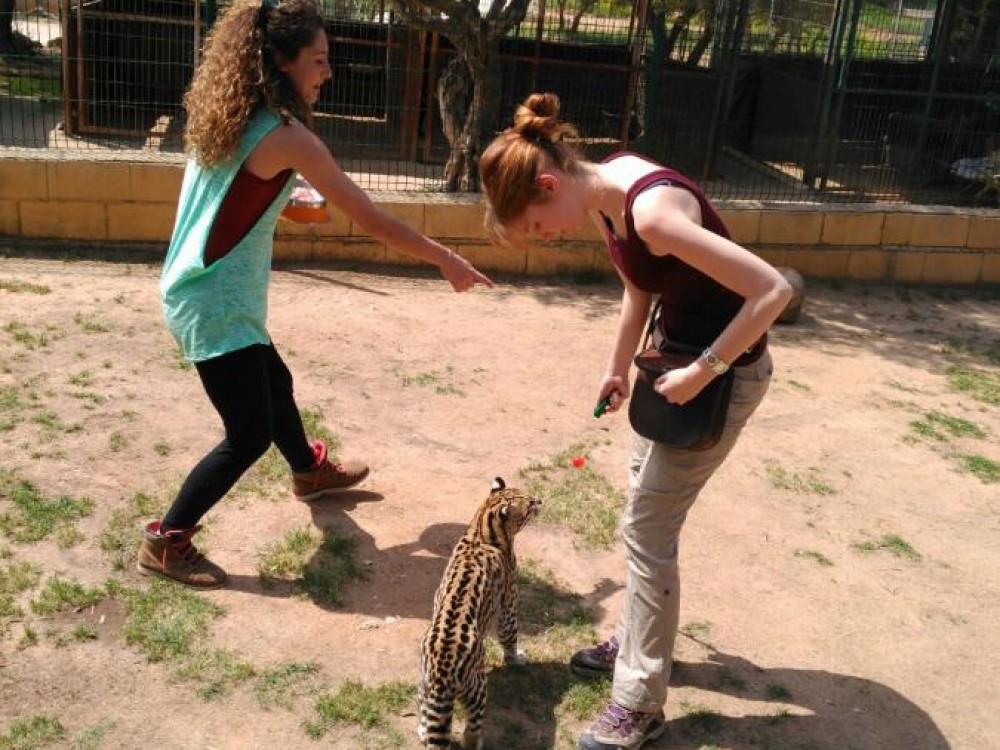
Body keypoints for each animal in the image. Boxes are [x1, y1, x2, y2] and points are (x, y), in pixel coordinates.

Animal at [417, 476, 542, 749]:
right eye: (527, 504)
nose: (539, 501)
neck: (482, 529)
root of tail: (441, 672)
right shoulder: (508, 602)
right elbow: (510, 635)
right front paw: (515, 658)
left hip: (424, 683)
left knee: (424, 713)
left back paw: (421, 730)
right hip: (477, 688)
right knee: (472, 727)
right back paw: (476, 741)